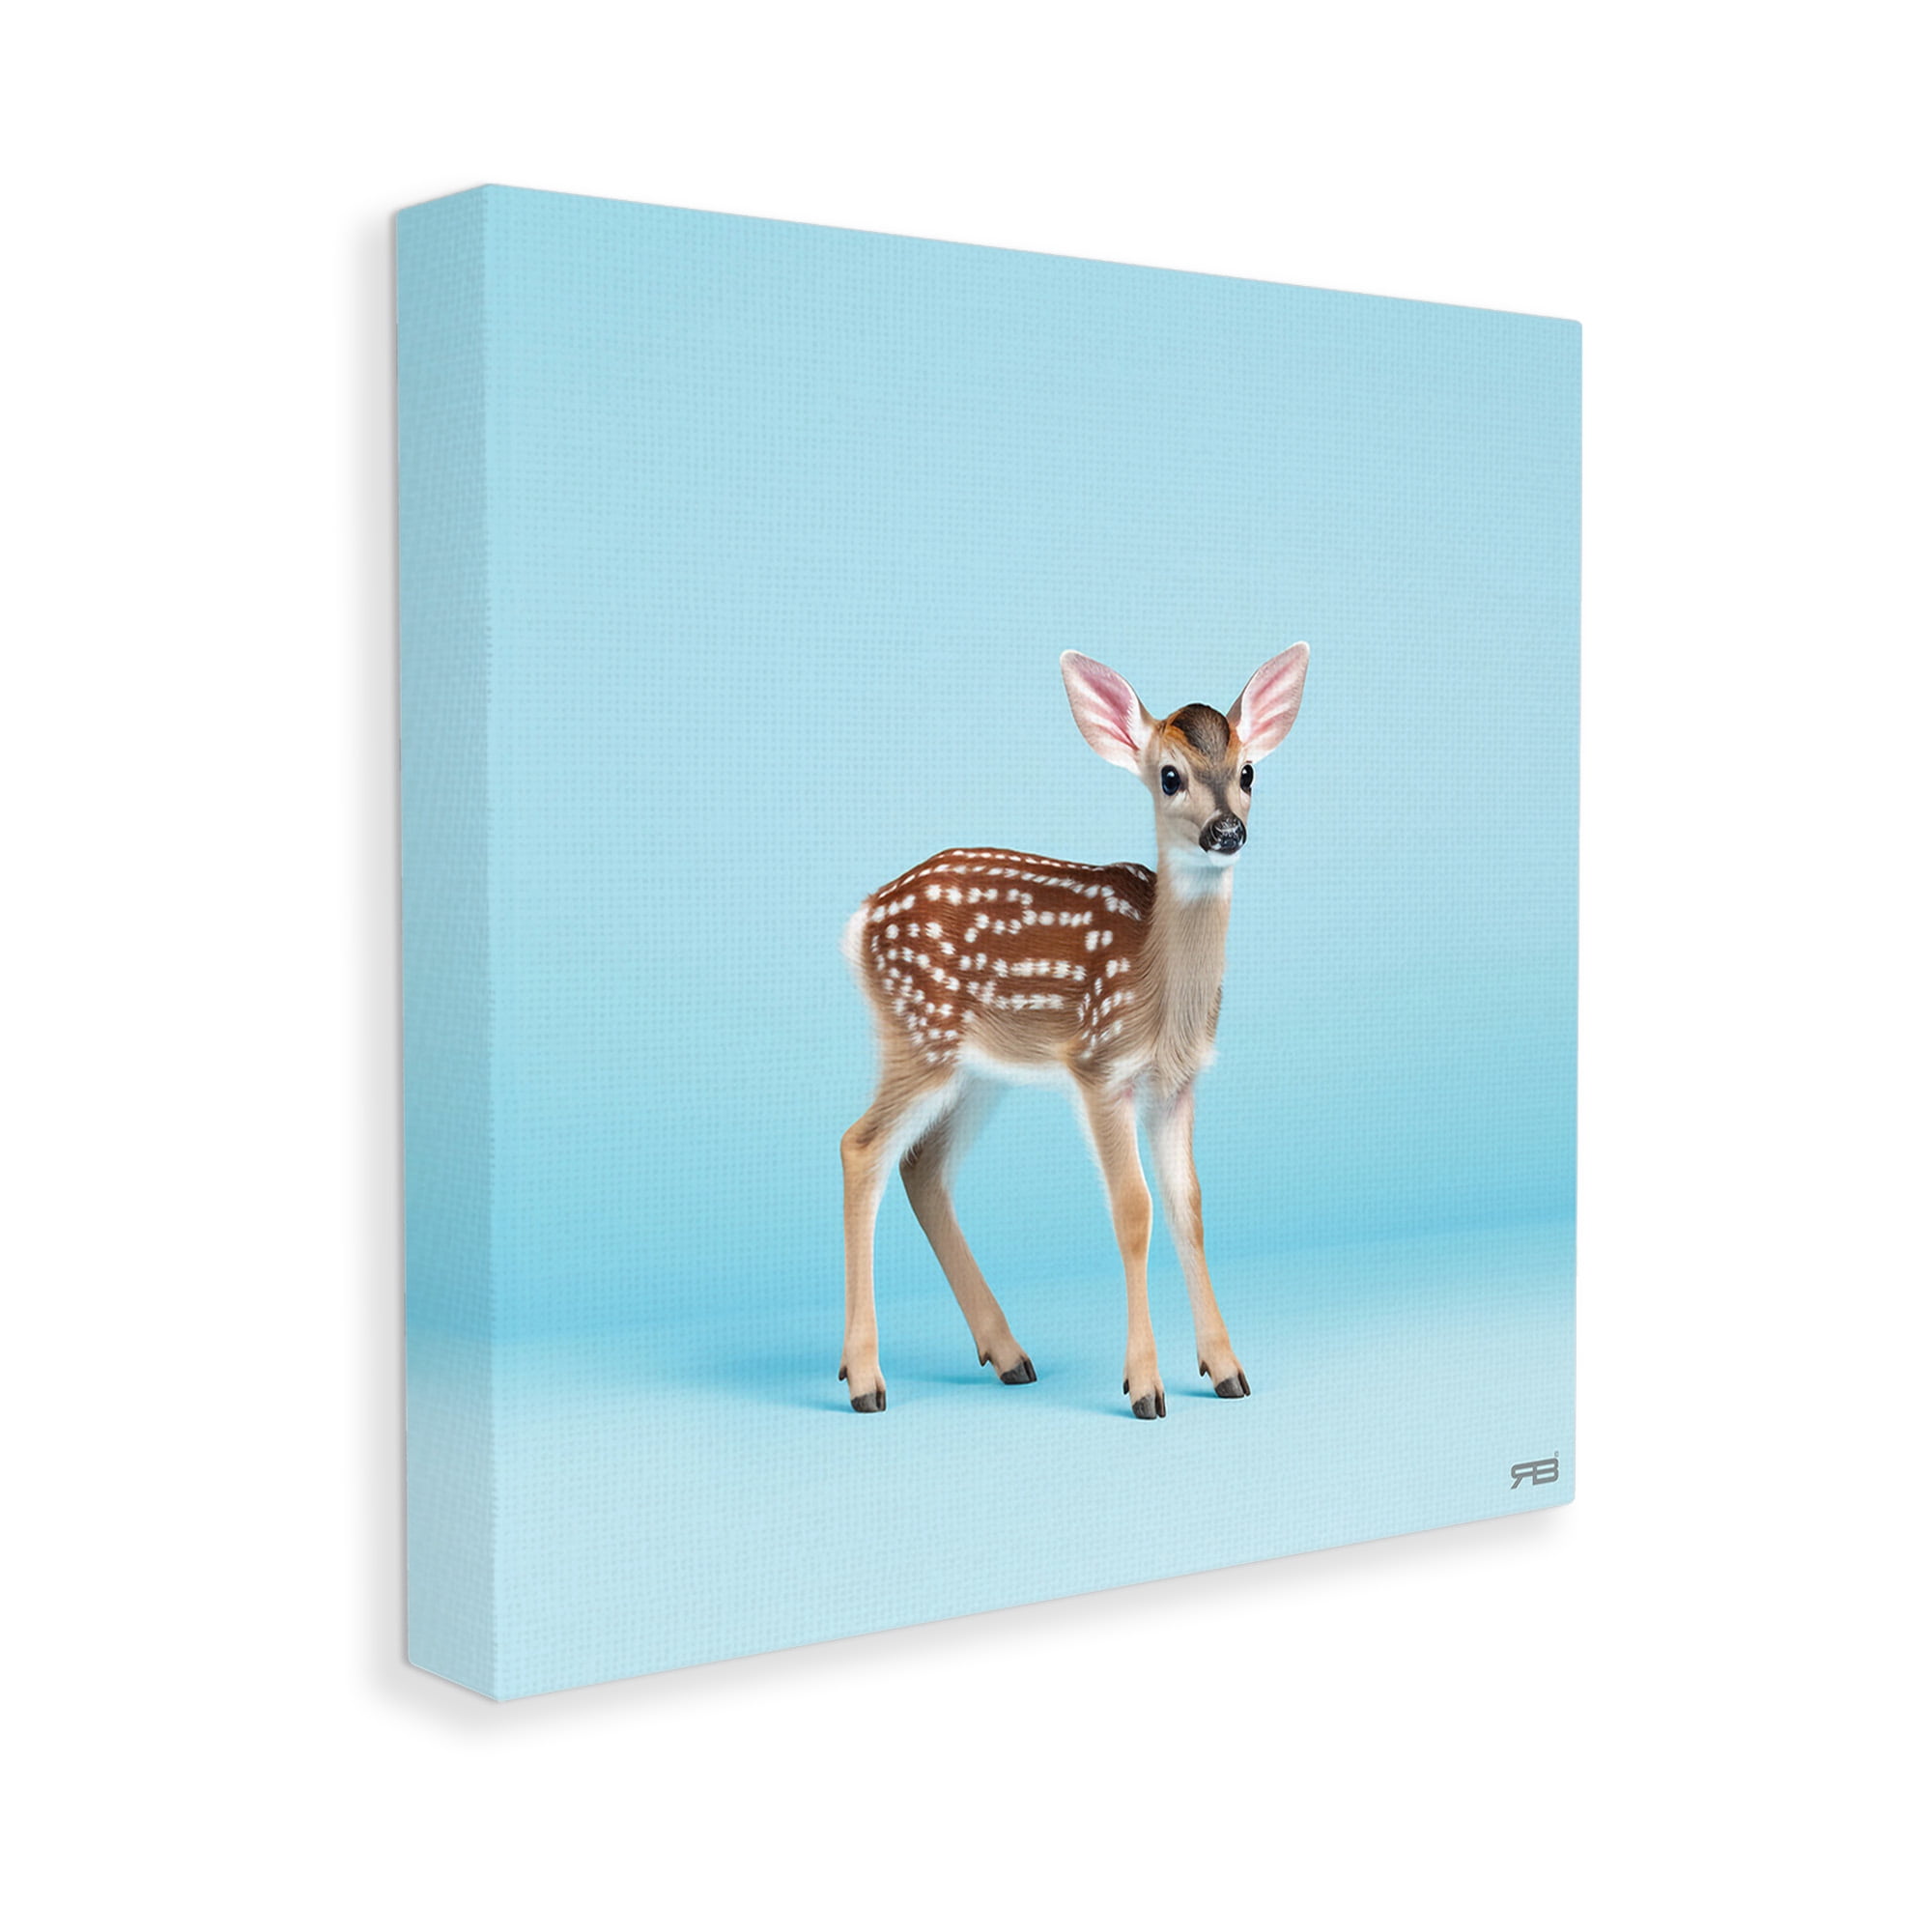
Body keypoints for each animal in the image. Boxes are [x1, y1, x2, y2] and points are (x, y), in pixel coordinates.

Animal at [838, 645, 1311, 1419]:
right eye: (1169, 776)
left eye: (1248, 771)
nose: (1226, 832)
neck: (1158, 990)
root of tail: (861, 920)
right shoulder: (1100, 1065)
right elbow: (1133, 1210)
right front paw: (1145, 1386)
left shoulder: (1176, 1085)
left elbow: (1189, 1207)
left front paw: (1225, 1369)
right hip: (919, 1036)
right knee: (862, 1148)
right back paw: (865, 1378)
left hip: (977, 1071)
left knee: (922, 1168)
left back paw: (1007, 1355)